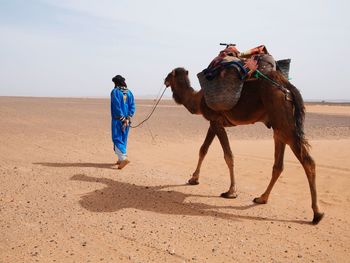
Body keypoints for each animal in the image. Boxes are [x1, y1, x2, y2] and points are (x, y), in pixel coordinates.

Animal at [165, 68, 324, 225]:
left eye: (169, 75)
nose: (164, 80)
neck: (197, 100)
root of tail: (286, 84)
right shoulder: (213, 123)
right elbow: (203, 149)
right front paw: (194, 179)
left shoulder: (215, 120)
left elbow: (228, 155)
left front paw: (231, 192)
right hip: (279, 126)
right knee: (278, 165)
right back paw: (262, 198)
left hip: (283, 119)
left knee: (308, 161)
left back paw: (317, 213)